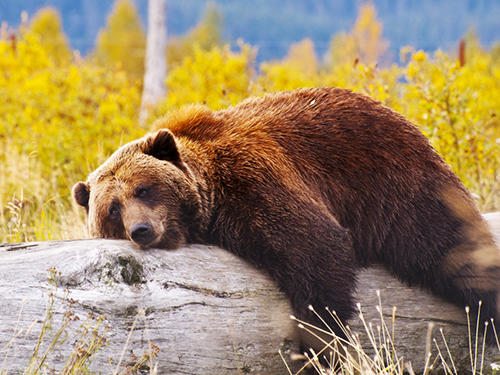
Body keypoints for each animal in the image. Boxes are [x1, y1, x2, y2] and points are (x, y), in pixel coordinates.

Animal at [72, 88, 500, 346]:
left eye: (143, 188)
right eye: (112, 209)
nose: (142, 229)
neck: (213, 196)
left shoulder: (256, 181)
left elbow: (315, 248)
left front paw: (321, 341)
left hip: (399, 188)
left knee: (453, 251)